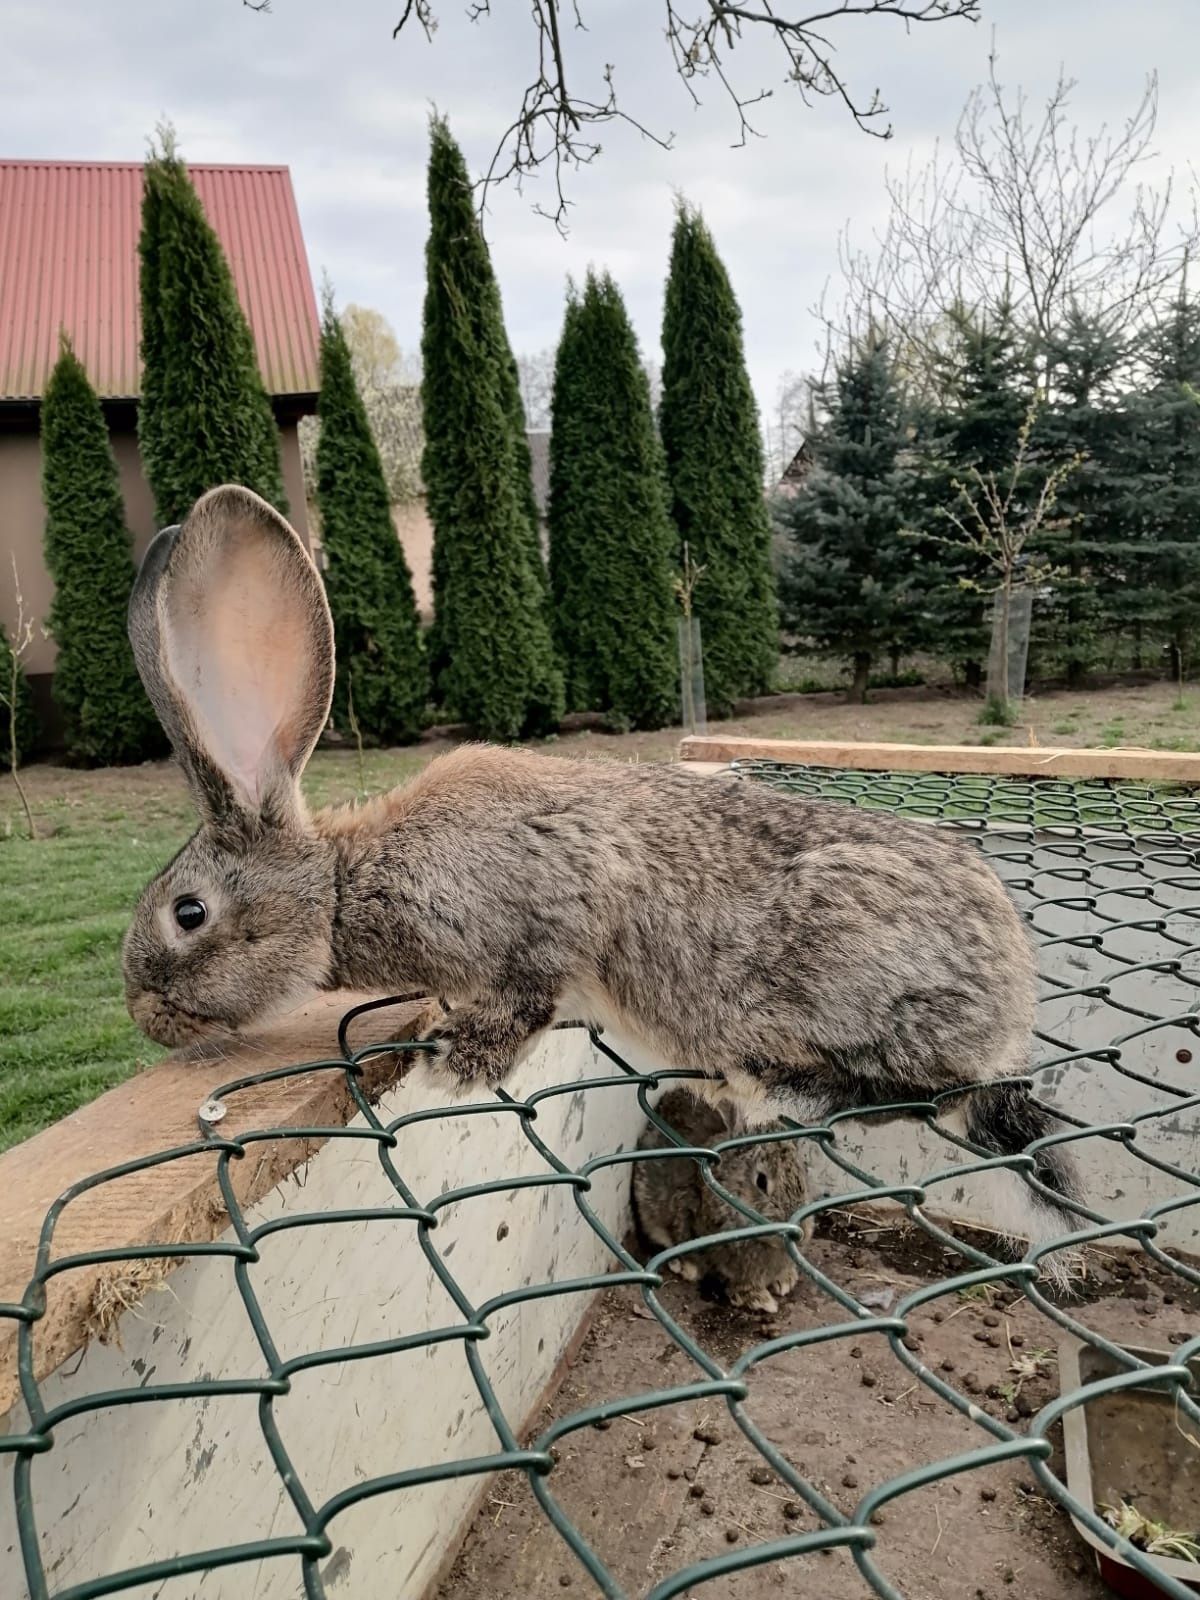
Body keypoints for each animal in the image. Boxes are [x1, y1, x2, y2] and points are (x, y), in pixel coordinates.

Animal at [122, 486, 1081, 1273]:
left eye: (188, 913)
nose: (145, 1015)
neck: (343, 882)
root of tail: (1011, 1004)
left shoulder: (541, 924)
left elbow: (525, 1000)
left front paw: (454, 1060)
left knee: (918, 1091)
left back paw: (775, 1082)